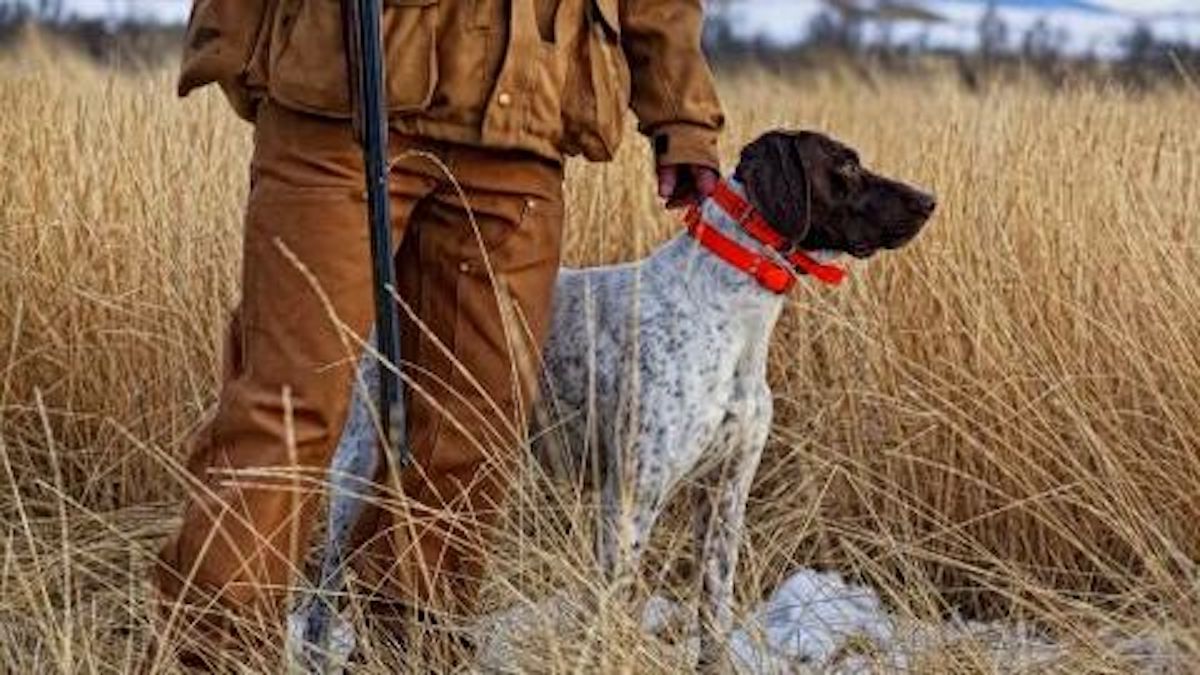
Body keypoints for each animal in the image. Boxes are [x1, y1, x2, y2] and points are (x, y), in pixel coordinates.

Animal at [292, 130, 936, 667]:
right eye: (845, 164)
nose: (929, 200)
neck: (732, 315)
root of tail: (395, 296)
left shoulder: (725, 495)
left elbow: (714, 609)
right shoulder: (629, 496)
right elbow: (612, 608)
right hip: (355, 471)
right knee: (323, 594)